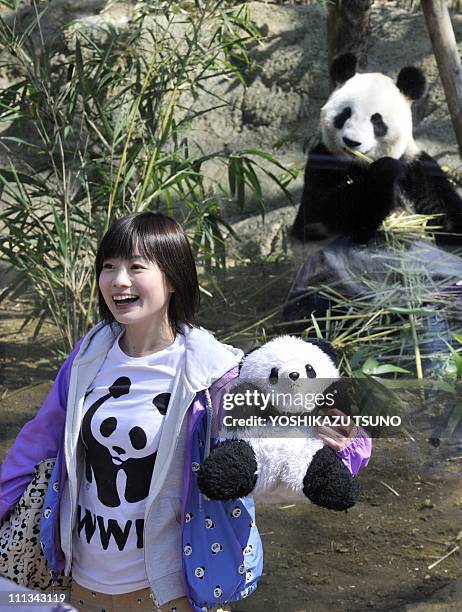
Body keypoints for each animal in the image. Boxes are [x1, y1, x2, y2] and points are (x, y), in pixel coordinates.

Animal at [197, 338, 362, 510]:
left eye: (309, 368)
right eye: (273, 372)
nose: (294, 375)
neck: (290, 411)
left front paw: (338, 392)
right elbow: (241, 402)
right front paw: (248, 394)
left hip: (311, 455)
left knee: (326, 471)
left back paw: (342, 490)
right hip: (249, 447)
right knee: (233, 460)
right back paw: (216, 478)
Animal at [290, 53, 462, 246]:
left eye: (376, 120)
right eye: (345, 113)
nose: (352, 142)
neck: (360, 164)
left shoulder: (418, 169)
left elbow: (449, 219)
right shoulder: (323, 160)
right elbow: (320, 214)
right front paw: (386, 169)